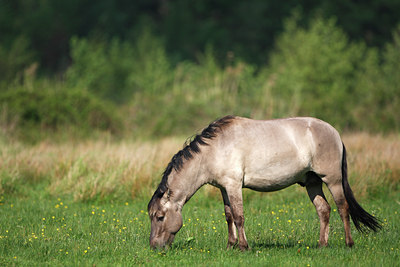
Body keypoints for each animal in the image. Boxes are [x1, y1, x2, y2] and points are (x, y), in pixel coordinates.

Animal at [148, 115, 382, 251]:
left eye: (160, 217)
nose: (154, 246)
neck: (214, 149)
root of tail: (335, 133)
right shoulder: (224, 188)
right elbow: (229, 216)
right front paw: (230, 245)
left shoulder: (234, 185)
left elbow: (239, 216)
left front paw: (243, 247)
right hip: (312, 183)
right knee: (324, 210)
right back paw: (321, 245)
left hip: (332, 180)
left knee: (343, 208)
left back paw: (348, 244)